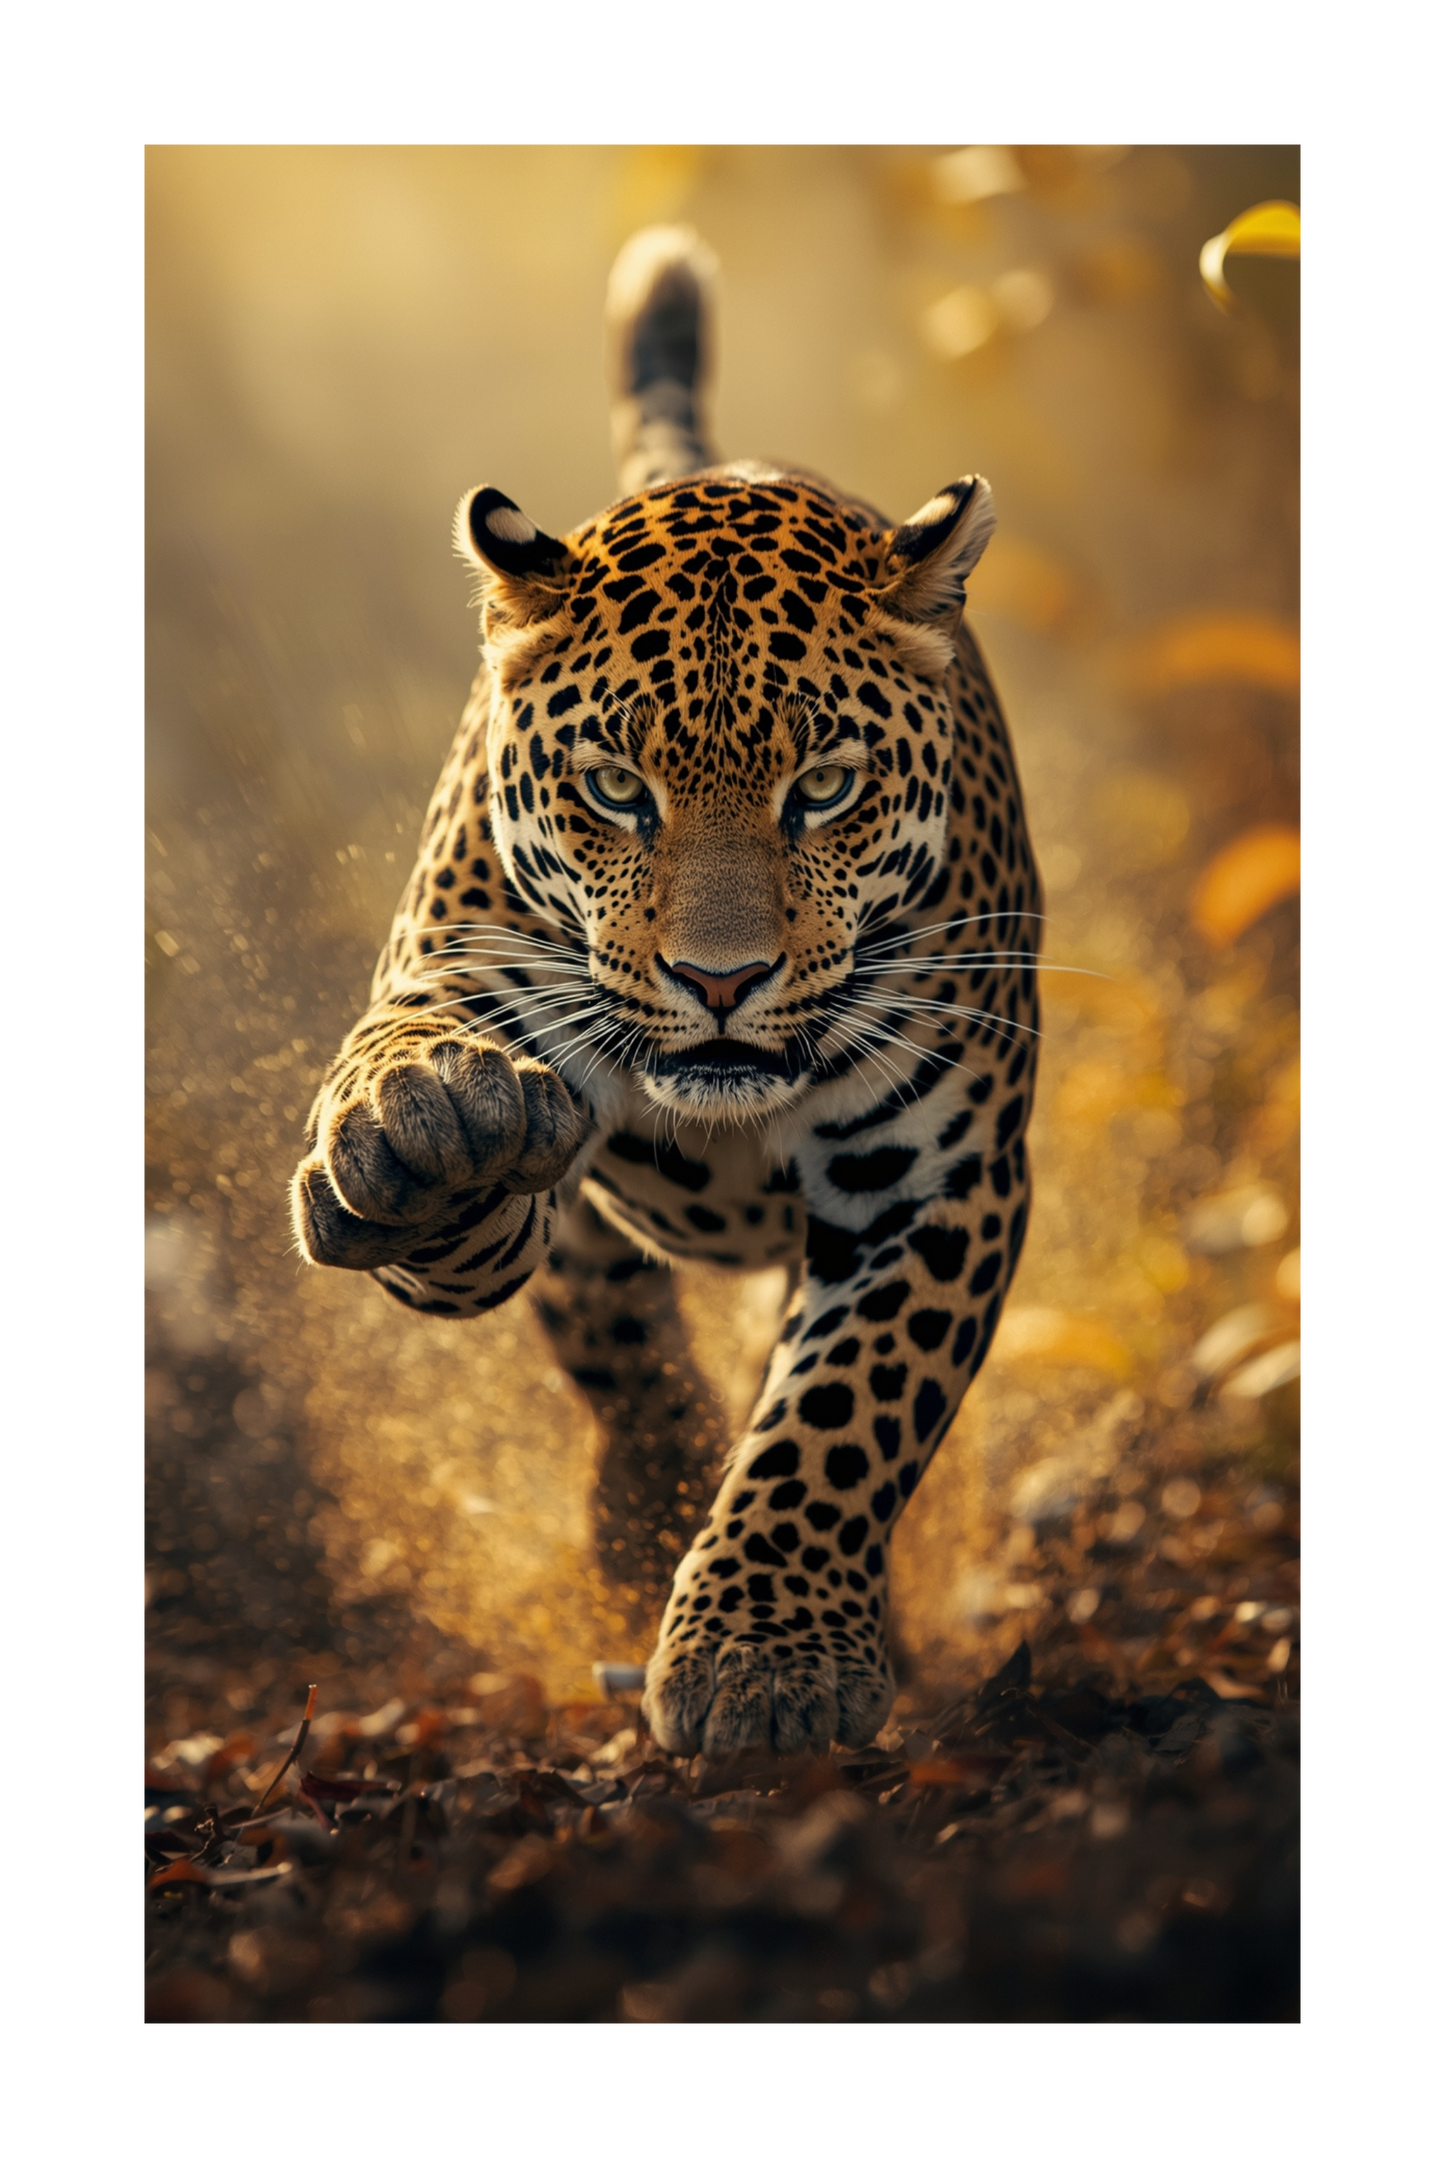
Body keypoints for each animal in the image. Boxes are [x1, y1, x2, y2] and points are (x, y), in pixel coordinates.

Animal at [292, 226, 1042, 1761]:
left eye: (824, 786)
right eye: (614, 788)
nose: (718, 979)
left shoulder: (934, 1180)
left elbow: (843, 1410)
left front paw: (764, 1655)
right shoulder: (457, 961)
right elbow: (430, 1116)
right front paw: (426, 1134)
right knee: (611, 1325)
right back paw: (643, 1503)